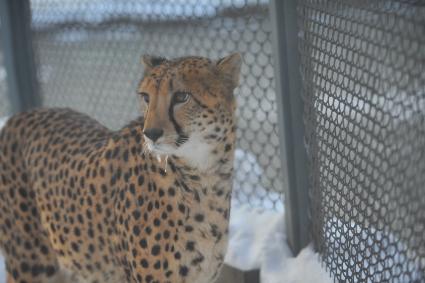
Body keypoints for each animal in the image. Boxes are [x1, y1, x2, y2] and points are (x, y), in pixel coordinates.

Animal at [0, 53, 240, 283]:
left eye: (182, 97)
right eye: (146, 97)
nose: (150, 133)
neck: (203, 177)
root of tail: (20, 116)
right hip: (31, 263)